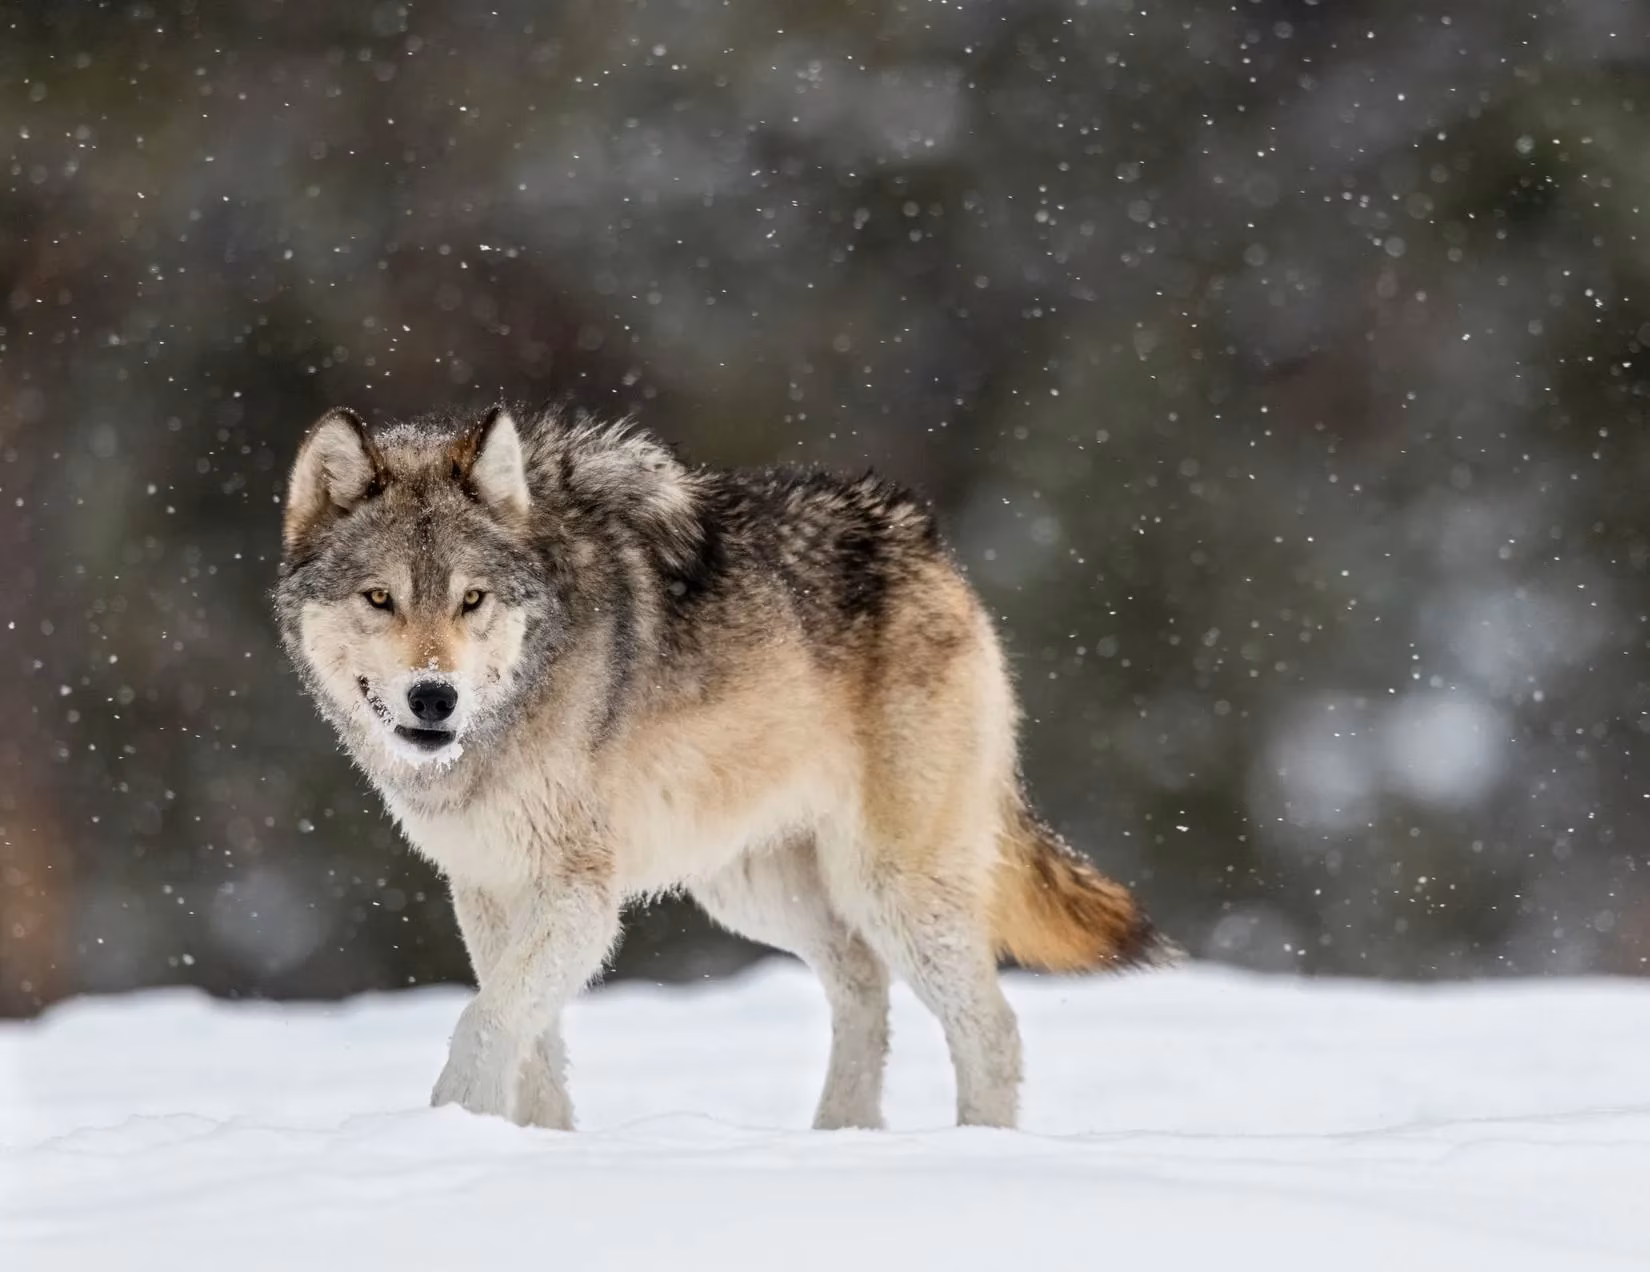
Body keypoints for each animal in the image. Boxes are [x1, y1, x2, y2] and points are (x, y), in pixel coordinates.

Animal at [274, 402, 1171, 1130]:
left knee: (992, 1028)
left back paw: (972, 1152)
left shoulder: (577, 896)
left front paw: (450, 1130)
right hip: (757, 890)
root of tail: (922, 540)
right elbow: (531, 1041)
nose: (435, 697)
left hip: (891, 888)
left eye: (471, 600)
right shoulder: (490, 890)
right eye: (380, 598)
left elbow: (485, 1021)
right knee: (862, 983)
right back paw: (839, 1139)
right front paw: (537, 1146)